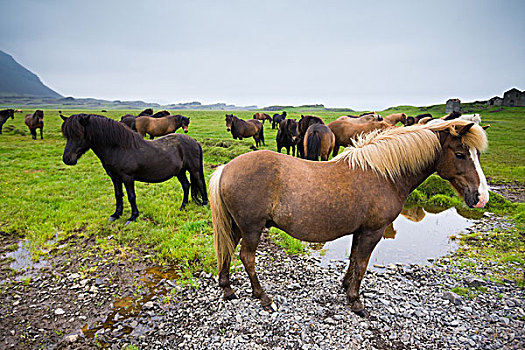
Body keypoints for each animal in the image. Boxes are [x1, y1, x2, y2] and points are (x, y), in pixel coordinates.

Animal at [60, 115, 208, 224]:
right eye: (67, 135)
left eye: (78, 135)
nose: (67, 159)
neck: (120, 148)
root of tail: (194, 141)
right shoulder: (115, 178)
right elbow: (118, 195)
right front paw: (116, 215)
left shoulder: (128, 177)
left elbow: (131, 196)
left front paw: (132, 217)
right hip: (180, 172)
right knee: (186, 185)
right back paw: (183, 206)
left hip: (194, 170)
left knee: (200, 183)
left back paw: (205, 203)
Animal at [209, 119, 488, 316]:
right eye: (460, 154)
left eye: (476, 154)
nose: (481, 197)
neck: (384, 174)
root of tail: (226, 168)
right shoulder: (373, 231)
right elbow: (362, 264)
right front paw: (356, 302)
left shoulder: (360, 230)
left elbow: (354, 259)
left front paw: (345, 286)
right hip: (252, 228)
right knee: (247, 258)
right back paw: (264, 298)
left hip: (237, 226)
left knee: (227, 250)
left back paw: (227, 289)